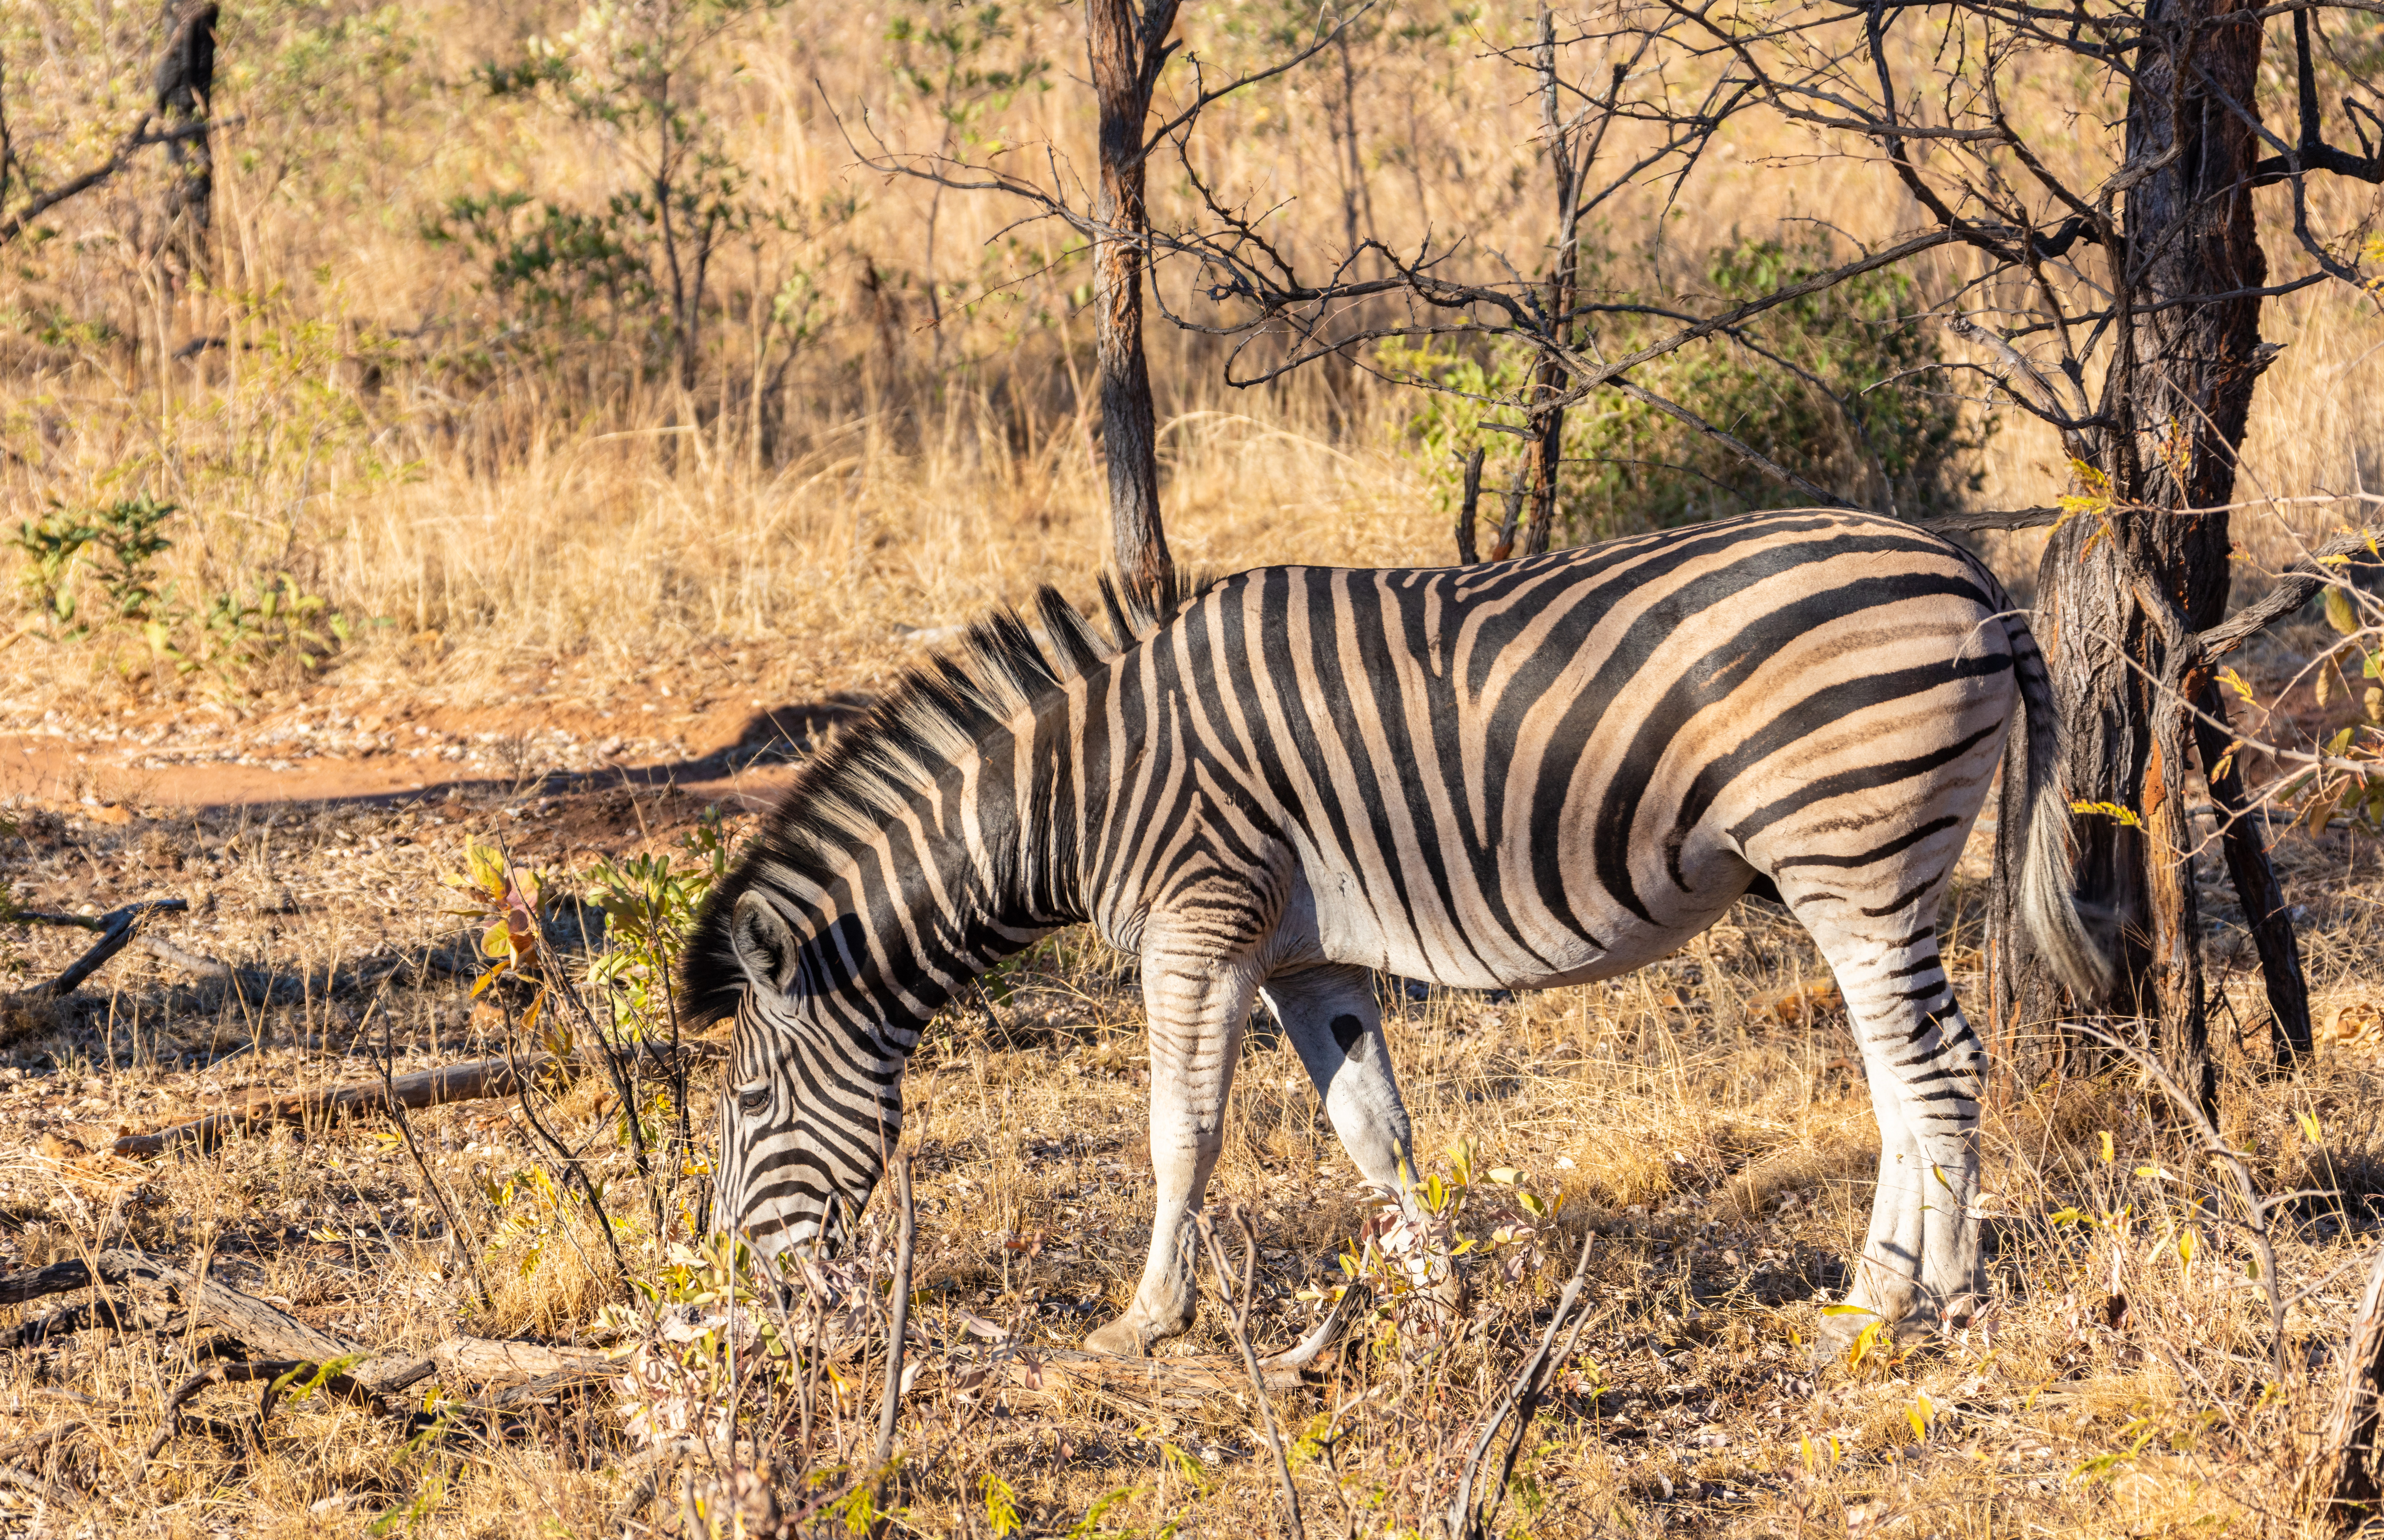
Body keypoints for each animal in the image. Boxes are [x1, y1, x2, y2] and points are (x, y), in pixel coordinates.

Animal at [682, 509, 2109, 1352]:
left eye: (747, 1105)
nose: (746, 1293)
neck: (1081, 791)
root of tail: (1967, 572)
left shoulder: (1201, 924)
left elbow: (1179, 1132)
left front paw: (1145, 1320)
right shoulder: (1307, 957)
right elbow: (1372, 1127)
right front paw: (1439, 1302)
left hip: (1851, 853)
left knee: (1939, 1069)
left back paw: (1932, 1305)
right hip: (1860, 873)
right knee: (1899, 1077)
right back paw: (1870, 1293)